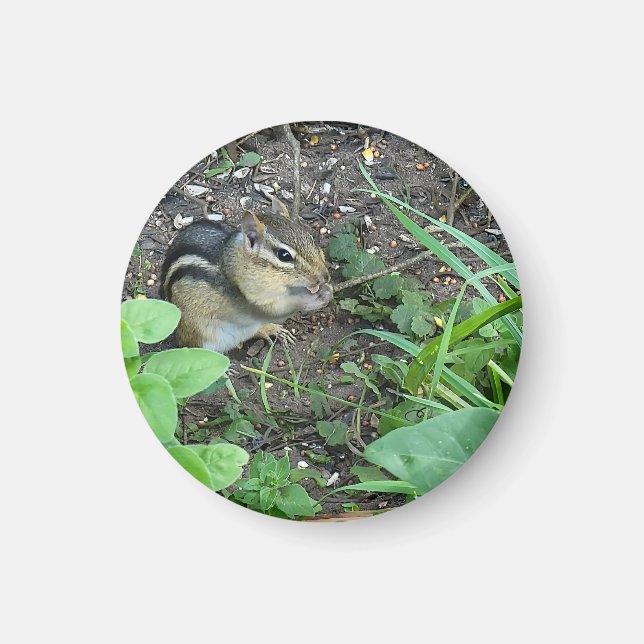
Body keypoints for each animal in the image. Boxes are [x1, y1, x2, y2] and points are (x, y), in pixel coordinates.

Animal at [159, 195, 333, 353]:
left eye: (311, 238)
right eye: (284, 255)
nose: (326, 276)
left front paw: (326, 289)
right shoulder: (252, 297)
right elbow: (278, 309)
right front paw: (316, 297)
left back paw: (272, 330)